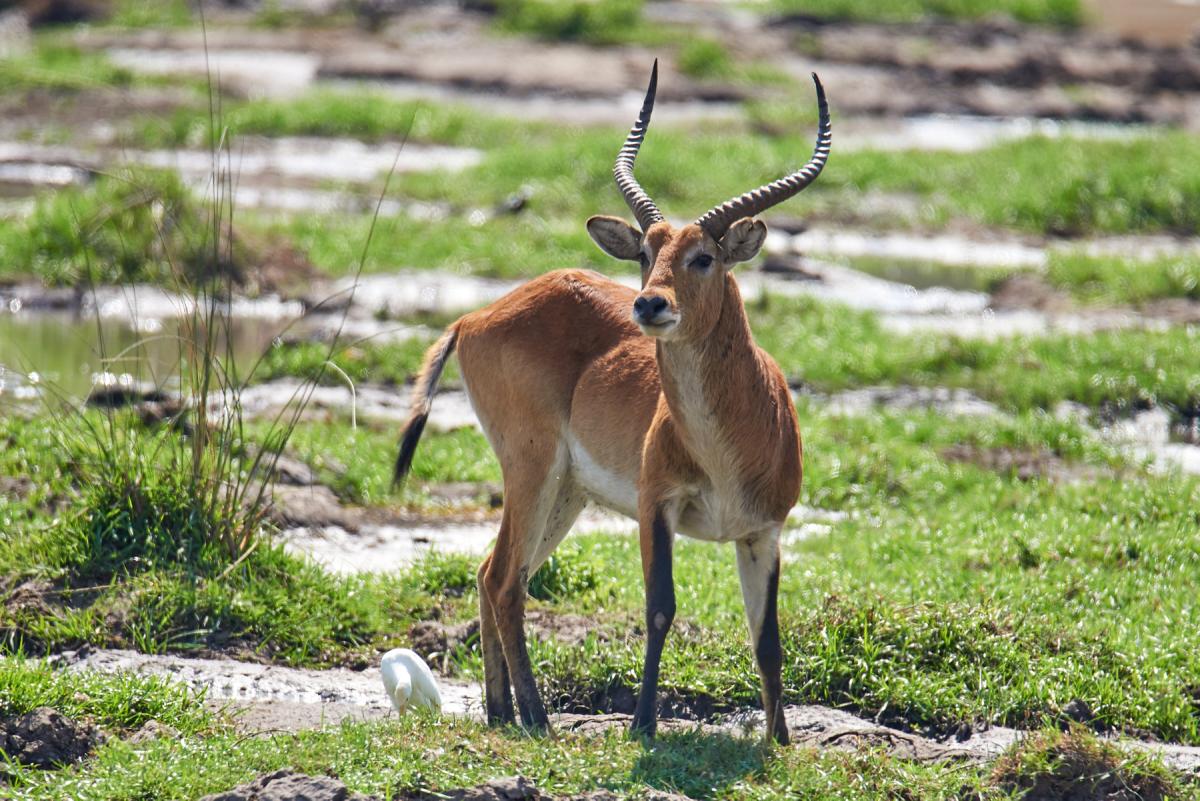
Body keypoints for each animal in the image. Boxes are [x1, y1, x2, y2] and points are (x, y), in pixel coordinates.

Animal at [398, 62, 830, 743]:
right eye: (648, 254)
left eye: (703, 256)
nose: (649, 304)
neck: (726, 447)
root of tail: (475, 316)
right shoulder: (657, 506)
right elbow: (659, 609)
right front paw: (643, 726)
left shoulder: (764, 531)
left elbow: (767, 638)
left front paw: (779, 741)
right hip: (533, 469)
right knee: (506, 579)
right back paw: (536, 719)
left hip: (566, 492)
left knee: (494, 571)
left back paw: (501, 712)